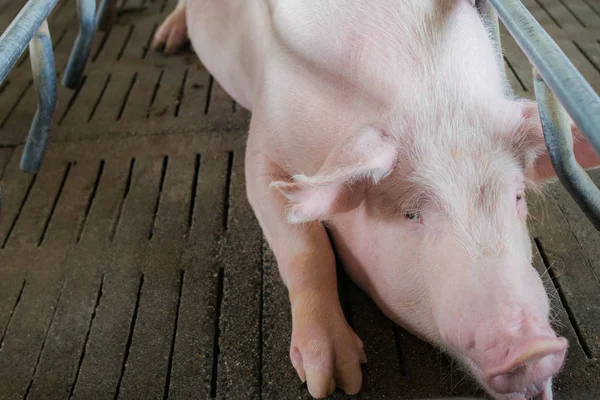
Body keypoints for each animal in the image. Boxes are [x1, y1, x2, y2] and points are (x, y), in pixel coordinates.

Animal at [151, 0, 600, 400]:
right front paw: (333, 380)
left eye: (518, 196)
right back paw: (163, 44)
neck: (434, 102)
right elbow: (307, 248)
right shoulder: (262, 146)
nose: (535, 349)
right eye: (411, 214)